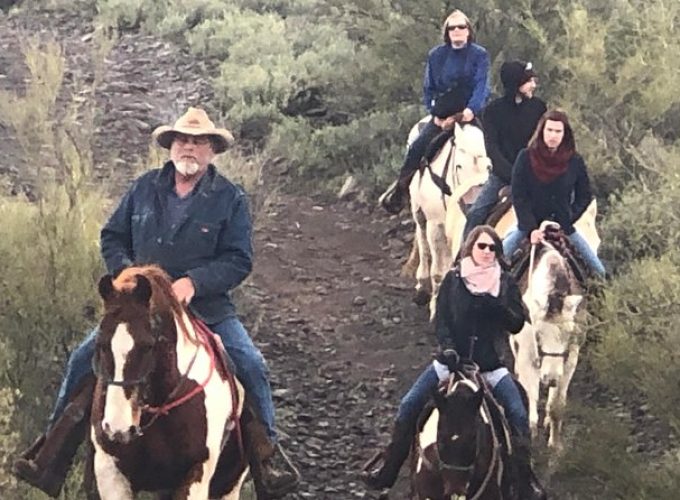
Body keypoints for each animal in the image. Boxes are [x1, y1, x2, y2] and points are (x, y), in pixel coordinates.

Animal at [398, 117, 488, 316]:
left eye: (489, 166)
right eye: (459, 165)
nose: (473, 202)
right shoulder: (435, 224)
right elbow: (437, 270)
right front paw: (435, 308)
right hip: (419, 213)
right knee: (423, 243)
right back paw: (422, 287)